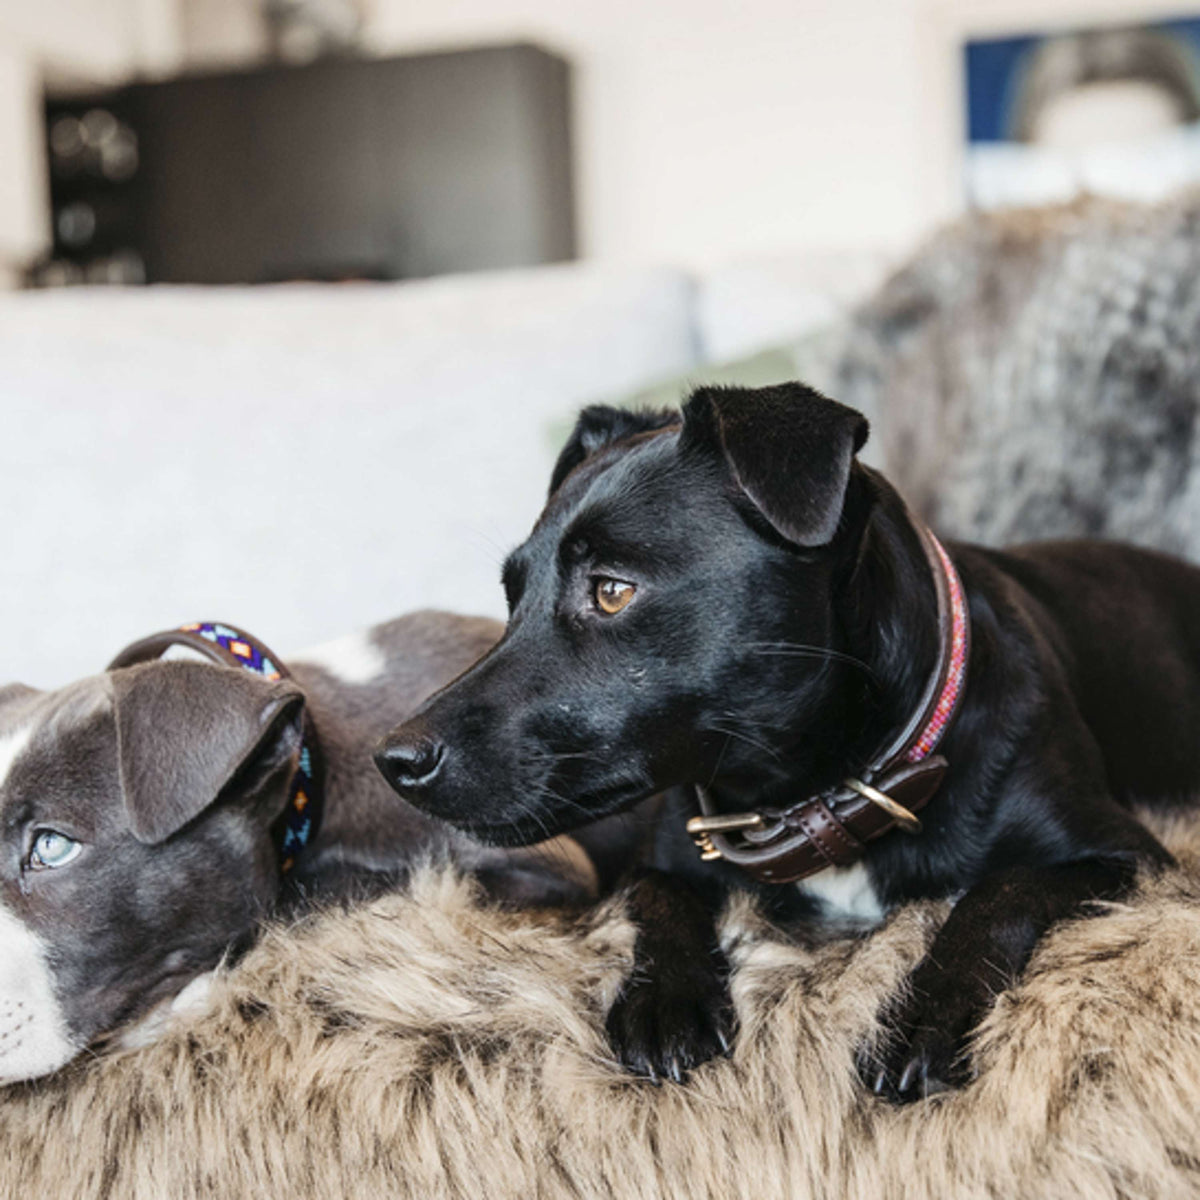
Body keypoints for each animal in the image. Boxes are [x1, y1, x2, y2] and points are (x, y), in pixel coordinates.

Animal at [374, 388, 1190, 1099]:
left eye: (611, 590)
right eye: (511, 598)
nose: (392, 759)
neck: (820, 791)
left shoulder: (1125, 854)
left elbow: (1001, 890)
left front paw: (923, 1017)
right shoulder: (664, 854)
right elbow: (658, 897)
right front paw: (666, 998)